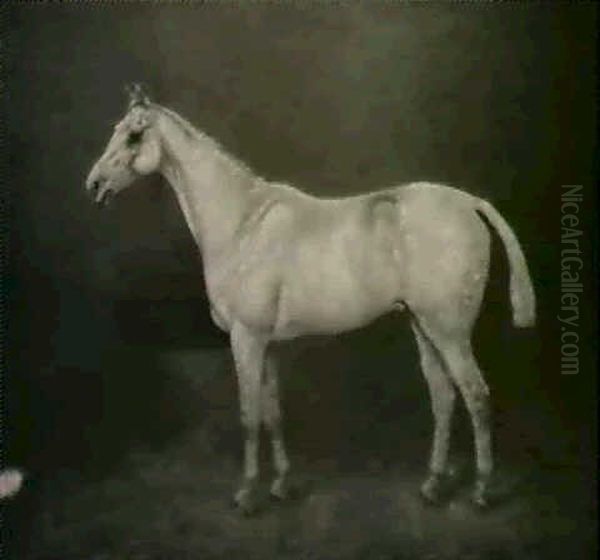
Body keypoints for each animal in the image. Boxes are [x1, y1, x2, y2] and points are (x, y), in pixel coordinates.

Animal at [84, 85, 536, 516]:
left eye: (134, 135)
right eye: (116, 130)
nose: (94, 183)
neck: (243, 223)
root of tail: (470, 203)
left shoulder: (246, 339)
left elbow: (249, 416)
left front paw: (248, 494)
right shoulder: (266, 344)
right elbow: (272, 411)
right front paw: (282, 484)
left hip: (449, 332)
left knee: (476, 396)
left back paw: (481, 490)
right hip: (424, 327)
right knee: (444, 397)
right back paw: (434, 485)